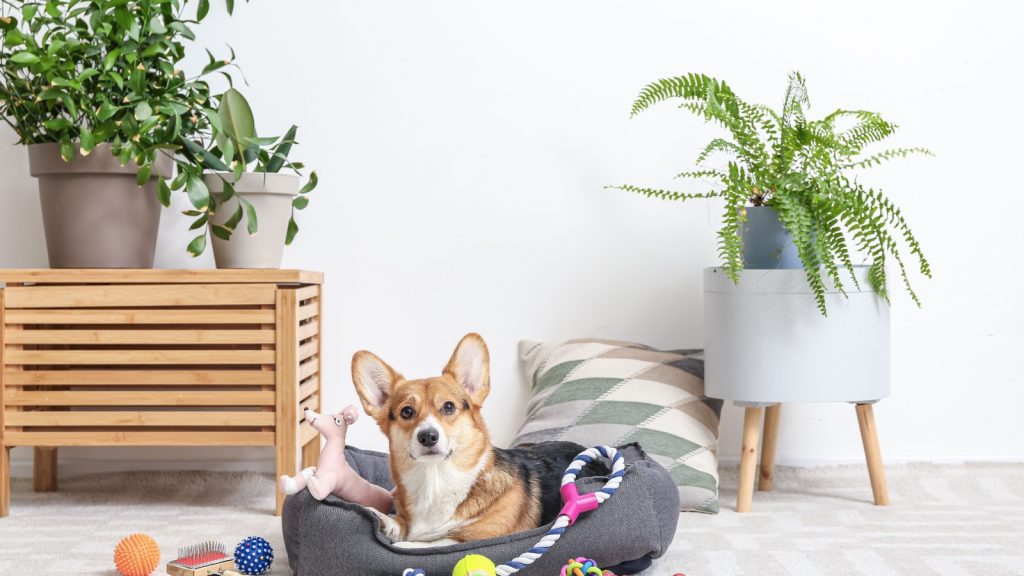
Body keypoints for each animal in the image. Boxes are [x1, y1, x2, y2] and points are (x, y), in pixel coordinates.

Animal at [354, 332, 606, 541]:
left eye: (448, 407)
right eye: (406, 412)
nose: (428, 436)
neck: (435, 480)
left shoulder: (476, 536)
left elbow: (428, 543)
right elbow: (400, 526)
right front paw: (382, 519)